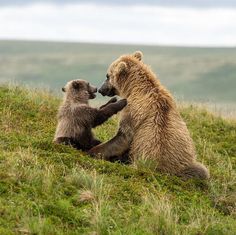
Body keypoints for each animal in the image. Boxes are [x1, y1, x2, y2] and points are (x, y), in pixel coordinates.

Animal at [89, 51, 210, 180]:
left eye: (107, 76)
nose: (100, 89)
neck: (133, 88)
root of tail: (167, 171)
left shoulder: (132, 110)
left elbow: (123, 135)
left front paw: (94, 151)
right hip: (186, 165)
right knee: (201, 171)